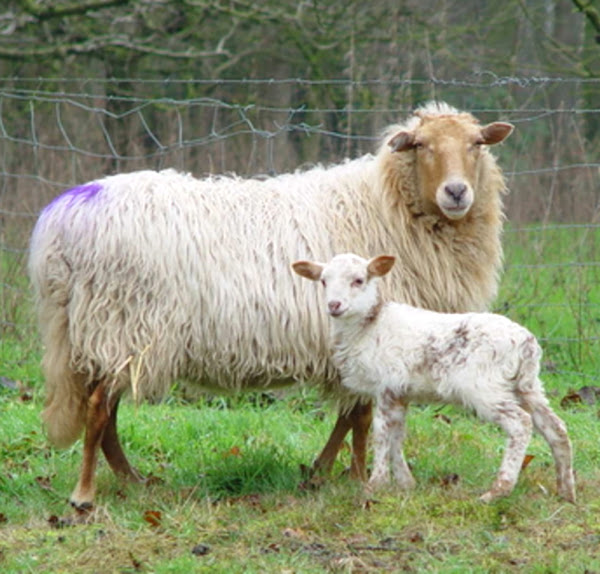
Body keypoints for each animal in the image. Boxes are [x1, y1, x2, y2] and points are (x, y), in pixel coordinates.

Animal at [292, 253, 576, 504]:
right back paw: (566, 491)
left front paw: (375, 485)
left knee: (520, 423)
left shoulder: (386, 385)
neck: (369, 325)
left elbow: (382, 434)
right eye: (323, 281)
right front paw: (406, 484)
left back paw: (497, 491)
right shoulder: (400, 392)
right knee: (556, 427)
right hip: (528, 385)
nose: (334, 305)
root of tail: (526, 344)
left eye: (359, 280)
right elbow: (397, 435)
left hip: (486, 386)